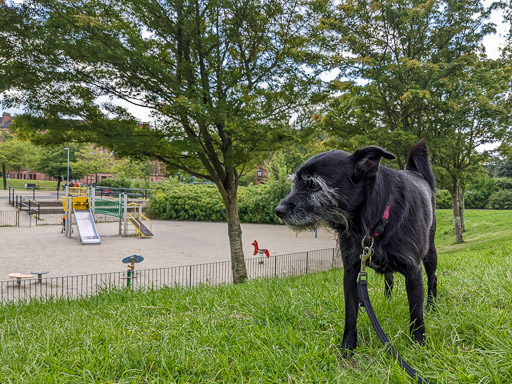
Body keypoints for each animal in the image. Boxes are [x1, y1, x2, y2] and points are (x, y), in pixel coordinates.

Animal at [274, 142, 438, 352]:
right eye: (294, 183)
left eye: (313, 184)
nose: (278, 210)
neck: (372, 221)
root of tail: (413, 172)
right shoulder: (351, 271)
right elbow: (350, 315)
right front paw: (347, 349)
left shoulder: (413, 270)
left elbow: (416, 314)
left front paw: (418, 344)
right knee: (389, 279)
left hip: (430, 255)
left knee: (432, 279)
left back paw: (432, 305)